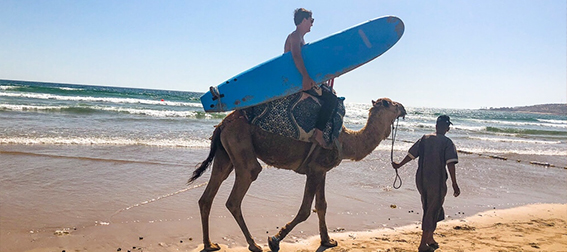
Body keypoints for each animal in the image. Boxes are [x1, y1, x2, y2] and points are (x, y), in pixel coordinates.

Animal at [189, 97, 406, 251]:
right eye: (391, 104)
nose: (403, 108)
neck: (345, 141)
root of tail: (222, 124)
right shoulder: (315, 170)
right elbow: (305, 210)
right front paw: (275, 239)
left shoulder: (321, 170)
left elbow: (322, 206)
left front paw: (327, 241)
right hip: (239, 143)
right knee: (239, 191)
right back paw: (253, 244)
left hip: (225, 154)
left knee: (208, 195)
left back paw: (209, 244)